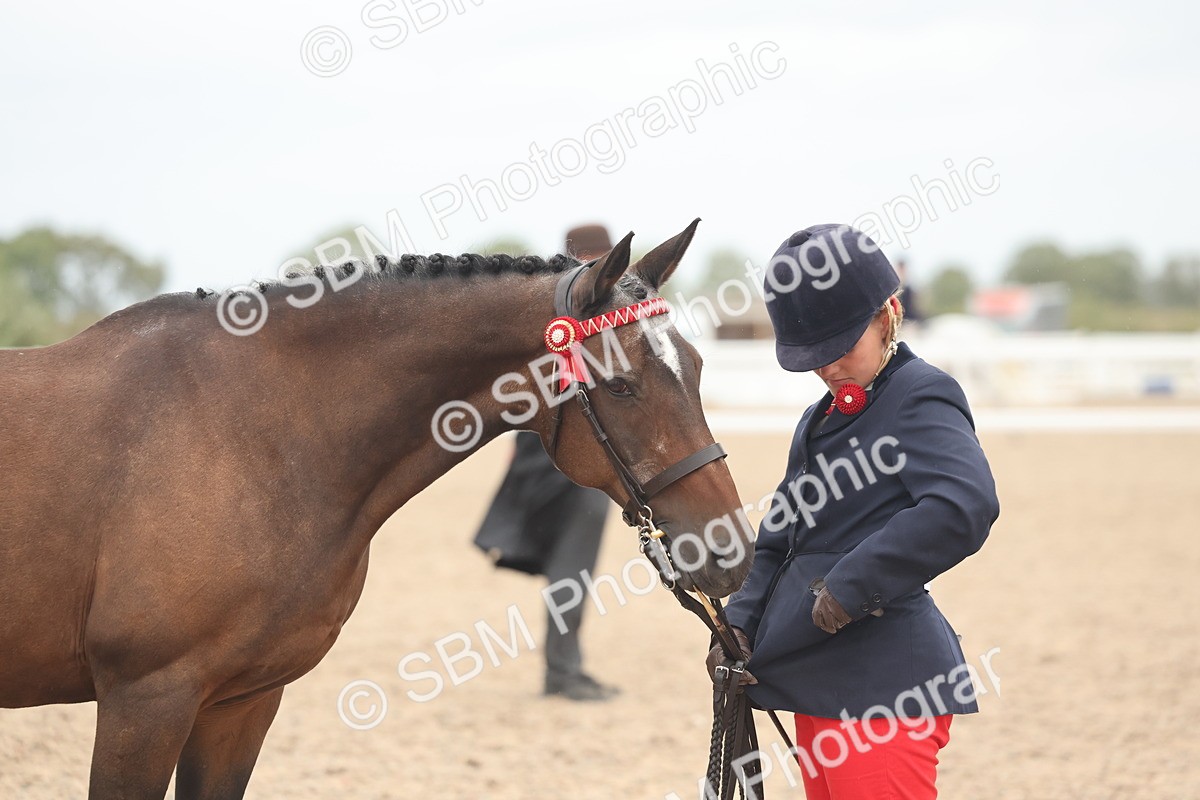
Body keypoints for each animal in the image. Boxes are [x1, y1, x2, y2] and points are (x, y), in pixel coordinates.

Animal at [0, 219, 753, 799]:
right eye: (622, 387)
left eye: (697, 367)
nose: (730, 549)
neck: (250, 431)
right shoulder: (145, 700)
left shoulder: (239, 703)